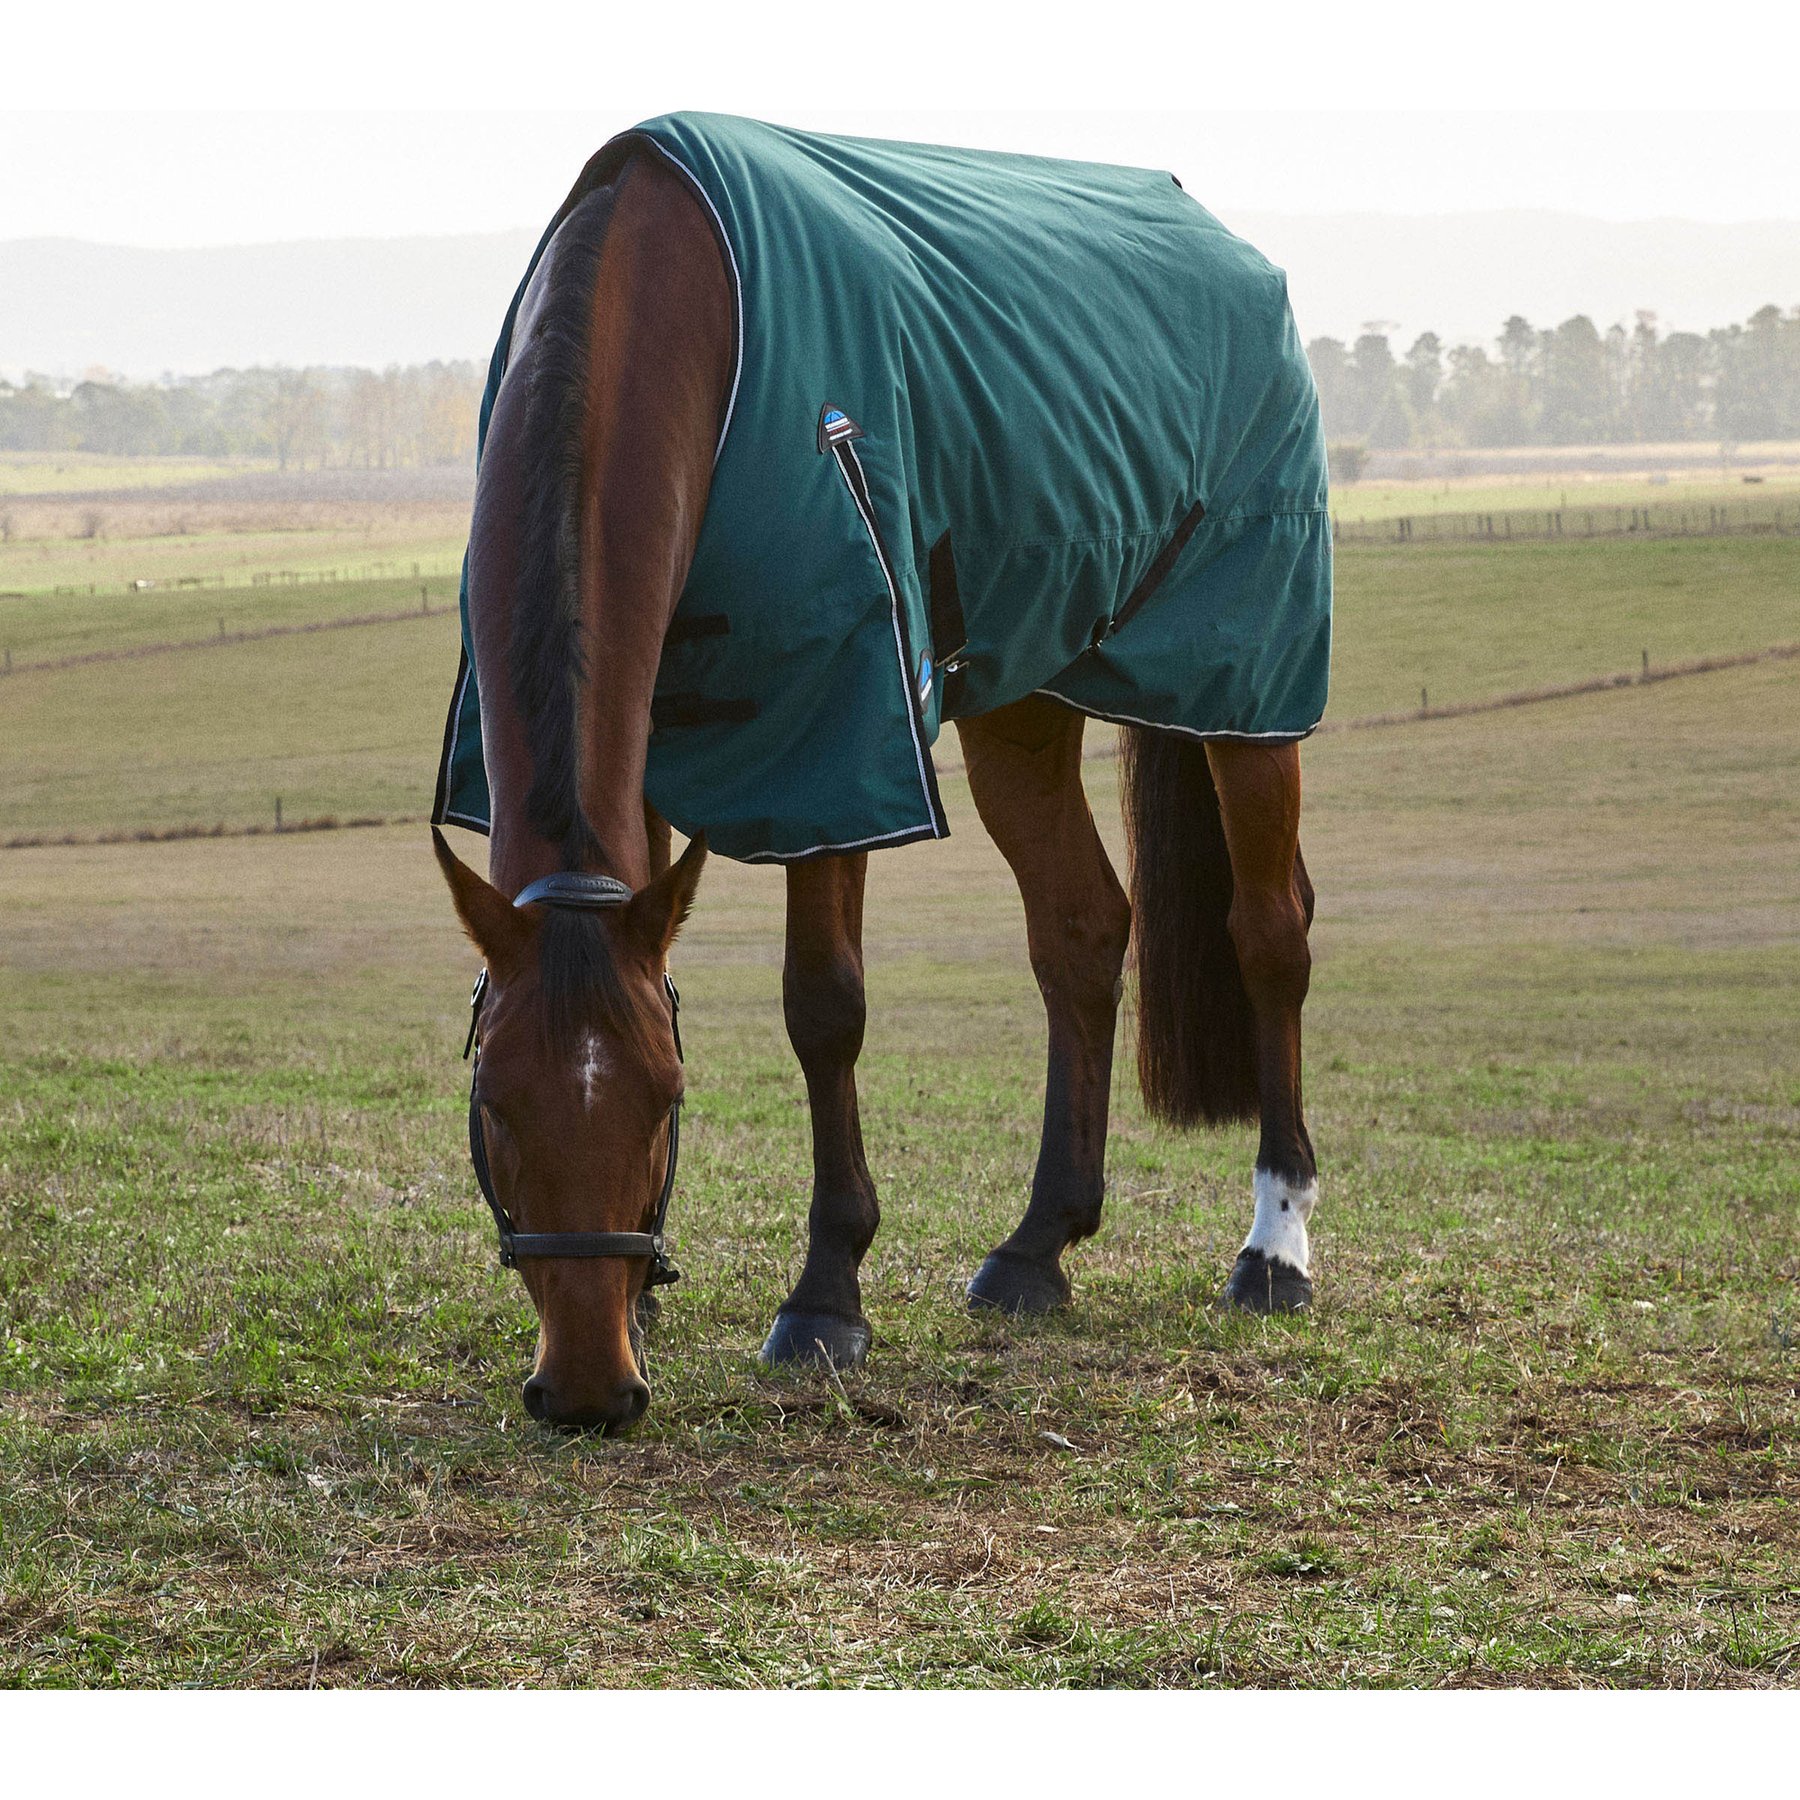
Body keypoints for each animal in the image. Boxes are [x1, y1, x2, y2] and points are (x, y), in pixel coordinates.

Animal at [430, 119, 1323, 1432]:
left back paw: (1274, 1245)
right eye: (495, 1104)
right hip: (1022, 695)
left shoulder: (839, 734)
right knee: (1080, 930)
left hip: (1246, 682)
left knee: (1270, 932)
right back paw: (1037, 1247)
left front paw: (825, 1297)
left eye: (665, 1098)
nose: (589, 1387)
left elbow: (824, 1006)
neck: (675, 296)